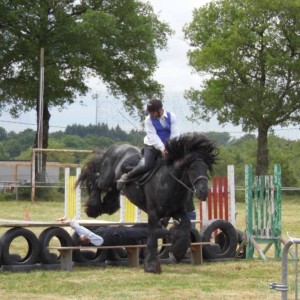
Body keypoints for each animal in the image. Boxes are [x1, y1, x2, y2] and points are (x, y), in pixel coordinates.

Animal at [77, 132, 218, 274]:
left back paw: (108, 206)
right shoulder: (153, 214)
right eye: (192, 168)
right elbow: (152, 238)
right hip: (105, 179)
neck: (169, 182)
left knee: (111, 191)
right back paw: (93, 208)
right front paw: (151, 266)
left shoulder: (177, 211)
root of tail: (115, 147)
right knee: (95, 180)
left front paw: (176, 253)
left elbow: (186, 226)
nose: (203, 192)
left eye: (206, 167)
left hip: (114, 185)